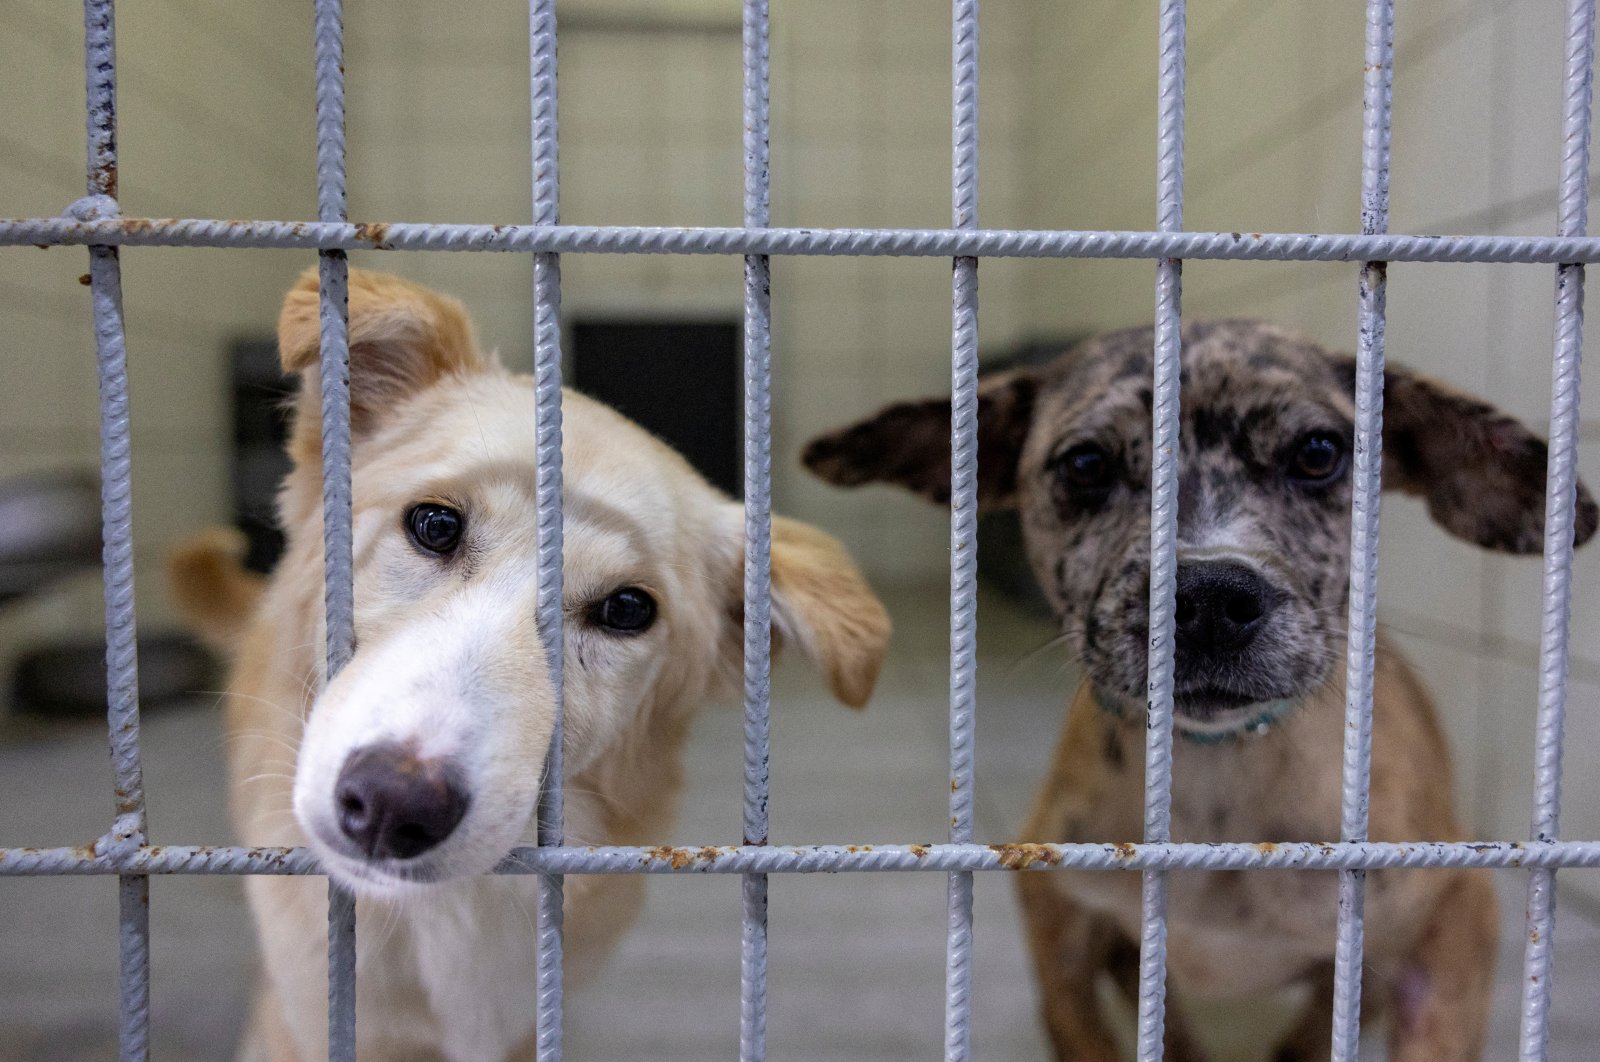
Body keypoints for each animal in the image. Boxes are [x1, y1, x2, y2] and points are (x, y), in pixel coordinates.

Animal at [806, 316, 1593, 1062]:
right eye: (1086, 464)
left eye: (1318, 451)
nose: (1210, 598)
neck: (1217, 782)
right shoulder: (1059, 920)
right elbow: (1088, 1029)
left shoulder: (1458, 918)